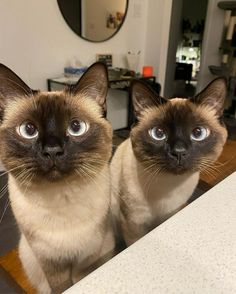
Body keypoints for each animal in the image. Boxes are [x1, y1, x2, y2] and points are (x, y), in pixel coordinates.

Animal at [0, 62, 115, 294]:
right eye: (28, 130)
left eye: (76, 127)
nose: (52, 151)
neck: (61, 197)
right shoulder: (51, 264)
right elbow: (60, 287)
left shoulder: (86, 258)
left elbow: (80, 279)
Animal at [111, 77, 228, 246]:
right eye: (159, 133)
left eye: (198, 133)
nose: (179, 152)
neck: (169, 186)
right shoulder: (134, 224)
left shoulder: (172, 213)